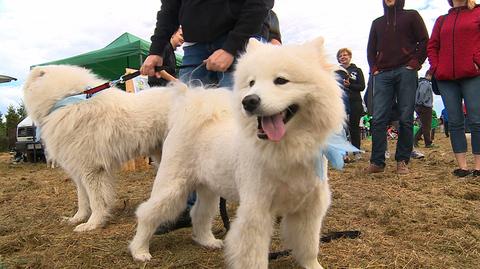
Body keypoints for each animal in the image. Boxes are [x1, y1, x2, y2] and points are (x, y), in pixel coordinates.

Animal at [22, 65, 182, 230]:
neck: (67, 100)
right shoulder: (78, 172)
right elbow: (82, 199)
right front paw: (77, 218)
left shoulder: (91, 170)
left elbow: (96, 201)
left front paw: (92, 224)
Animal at [127, 37, 344, 268]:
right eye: (251, 83)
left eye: (281, 81)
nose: (249, 101)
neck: (287, 149)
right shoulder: (256, 211)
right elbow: (253, 257)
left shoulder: (308, 210)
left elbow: (309, 245)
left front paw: (313, 265)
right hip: (172, 187)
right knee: (147, 214)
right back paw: (139, 250)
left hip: (209, 189)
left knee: (199, 214)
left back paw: (207, 241)